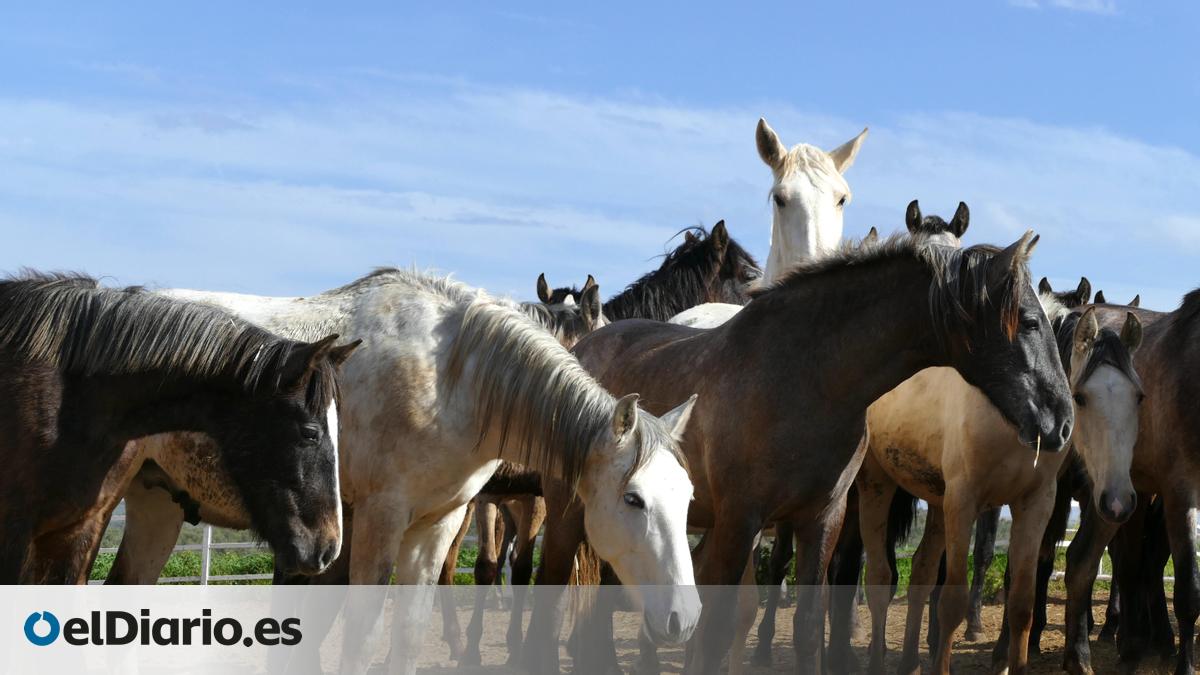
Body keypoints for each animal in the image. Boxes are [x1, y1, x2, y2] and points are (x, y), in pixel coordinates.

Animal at [101, 268, 702, 674]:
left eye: (688, 498)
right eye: (634, 499)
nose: (685, 617)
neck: (449, 377)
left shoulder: (439, 522)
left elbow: (408, 634)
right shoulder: (379, 518)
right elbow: (361, 640)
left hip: (157, 499)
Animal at [550, 230, 1073, 674]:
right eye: (1029, 321)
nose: (1062, 420)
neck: (806, 378)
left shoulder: (822, 519)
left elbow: (806, 629)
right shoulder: (739, 522)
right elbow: (717, 630)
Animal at [858, 302, 1142, 675]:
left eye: (1139, 397)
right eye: (1080, 397)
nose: (1118, 501)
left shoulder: (1035, 505)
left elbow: (1021, 605)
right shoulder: (963, 503)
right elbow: (952, 603)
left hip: (937, 503)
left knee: (920, 573)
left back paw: (908, 663)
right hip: (877, 484)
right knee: (879, 579)